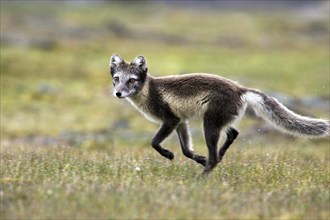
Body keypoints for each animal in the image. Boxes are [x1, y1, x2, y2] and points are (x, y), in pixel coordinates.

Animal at [109, 53, 328, 175]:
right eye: (117, 79)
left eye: (132, 80)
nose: (118, 93)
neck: (149, 91)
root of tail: (240, 88)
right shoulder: (181, 121)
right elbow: (186, 150)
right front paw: (198, 158)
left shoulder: (170, 120)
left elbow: (154, 142)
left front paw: (168, 154)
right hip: (220, 120)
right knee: (233, 134)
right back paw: (216, 158)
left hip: (210, 124)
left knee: (216, 154)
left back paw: (201, 179)